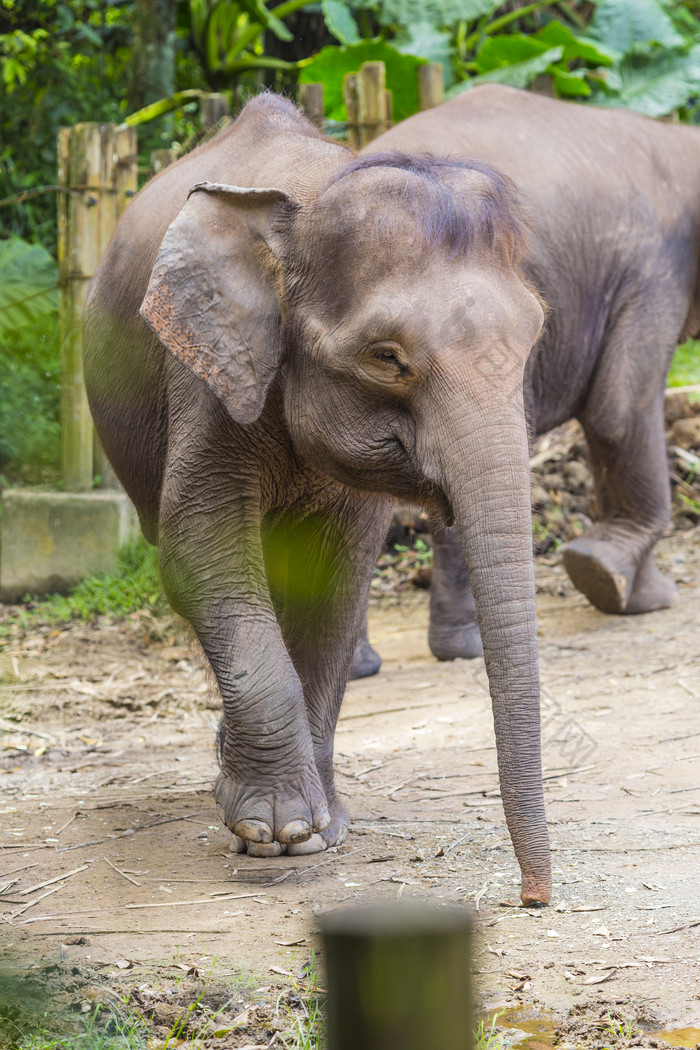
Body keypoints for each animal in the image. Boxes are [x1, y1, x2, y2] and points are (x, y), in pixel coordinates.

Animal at [83, 92, 554, 902]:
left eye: (535, 336)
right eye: (387, 357)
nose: (533, 898)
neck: (310, 197)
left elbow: (336, 575)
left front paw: (320, 828)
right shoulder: (207, 375)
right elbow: (197, 549)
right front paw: (278, 832)